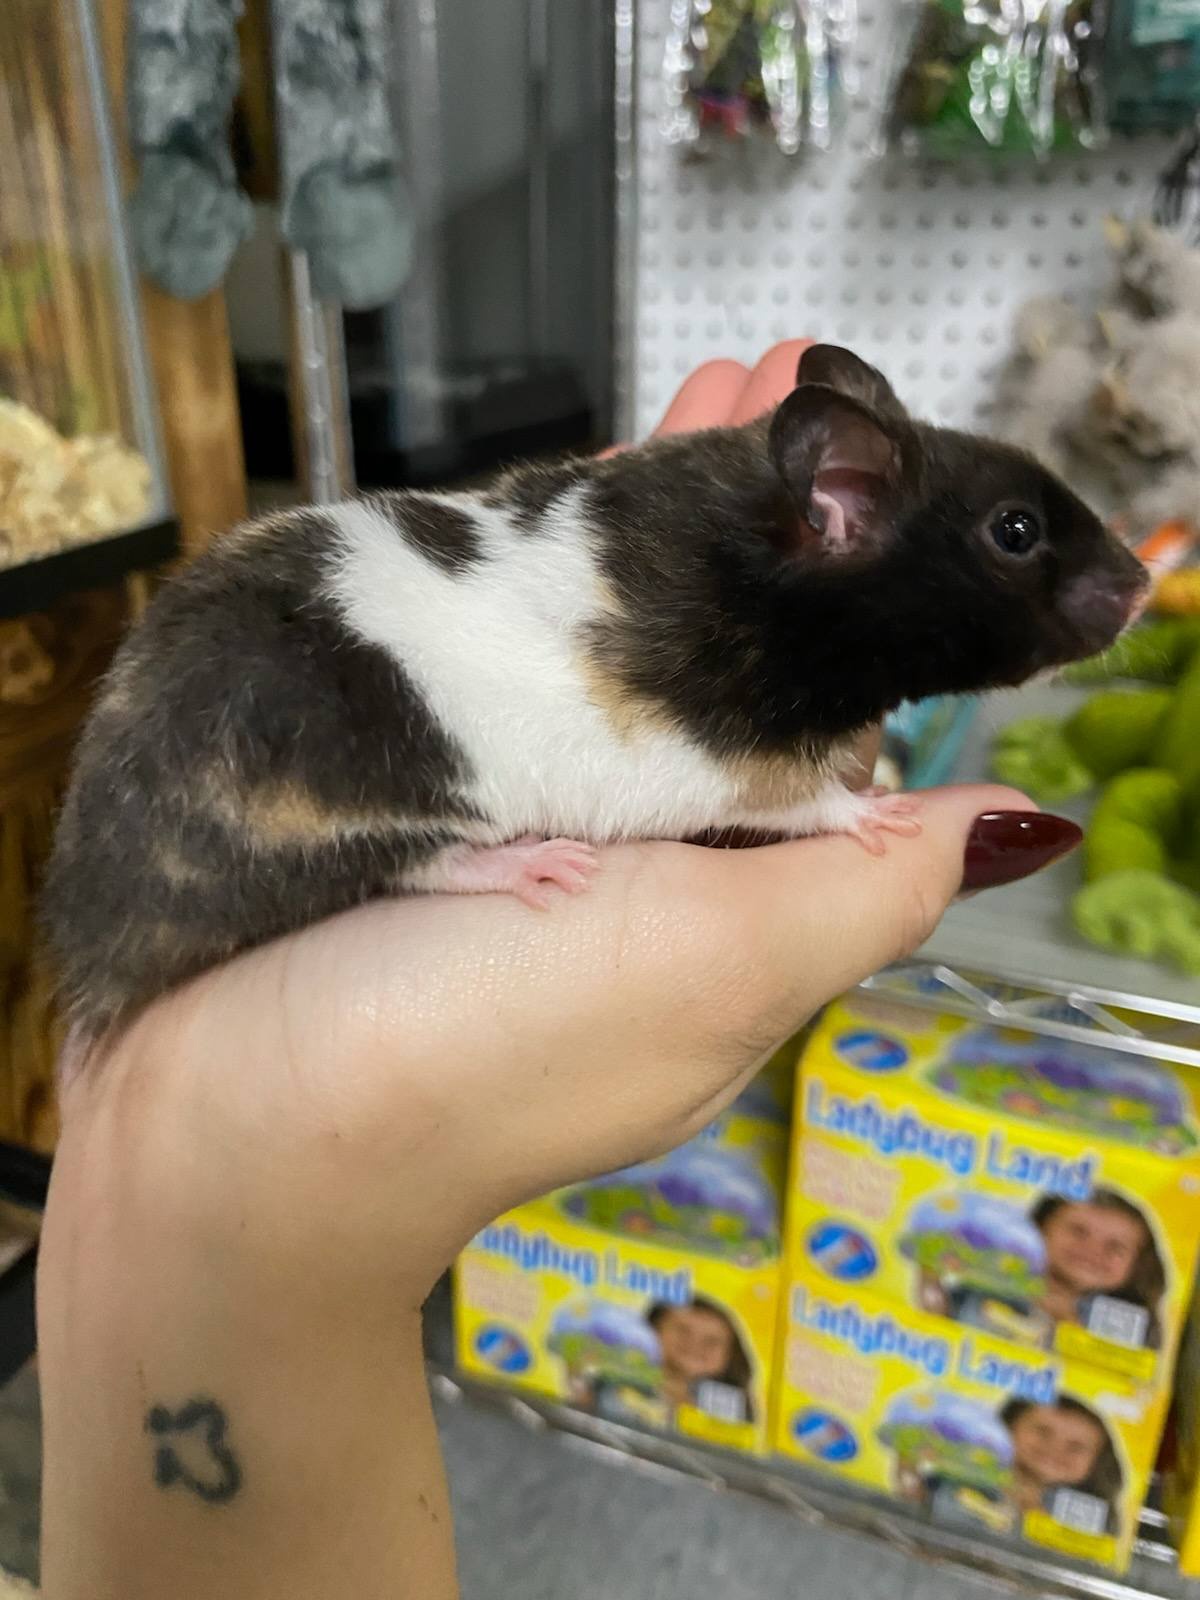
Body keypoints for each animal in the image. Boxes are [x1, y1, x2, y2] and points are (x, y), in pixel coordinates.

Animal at [42, 344, 1147, 1050]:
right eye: (1015, 532)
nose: (1142, 584)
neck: (769, 571)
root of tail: (90, 928)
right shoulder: (722, 767)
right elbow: (806, 803)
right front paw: (885, 813)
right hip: (342, 816)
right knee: (419, 866)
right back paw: (542, 866)